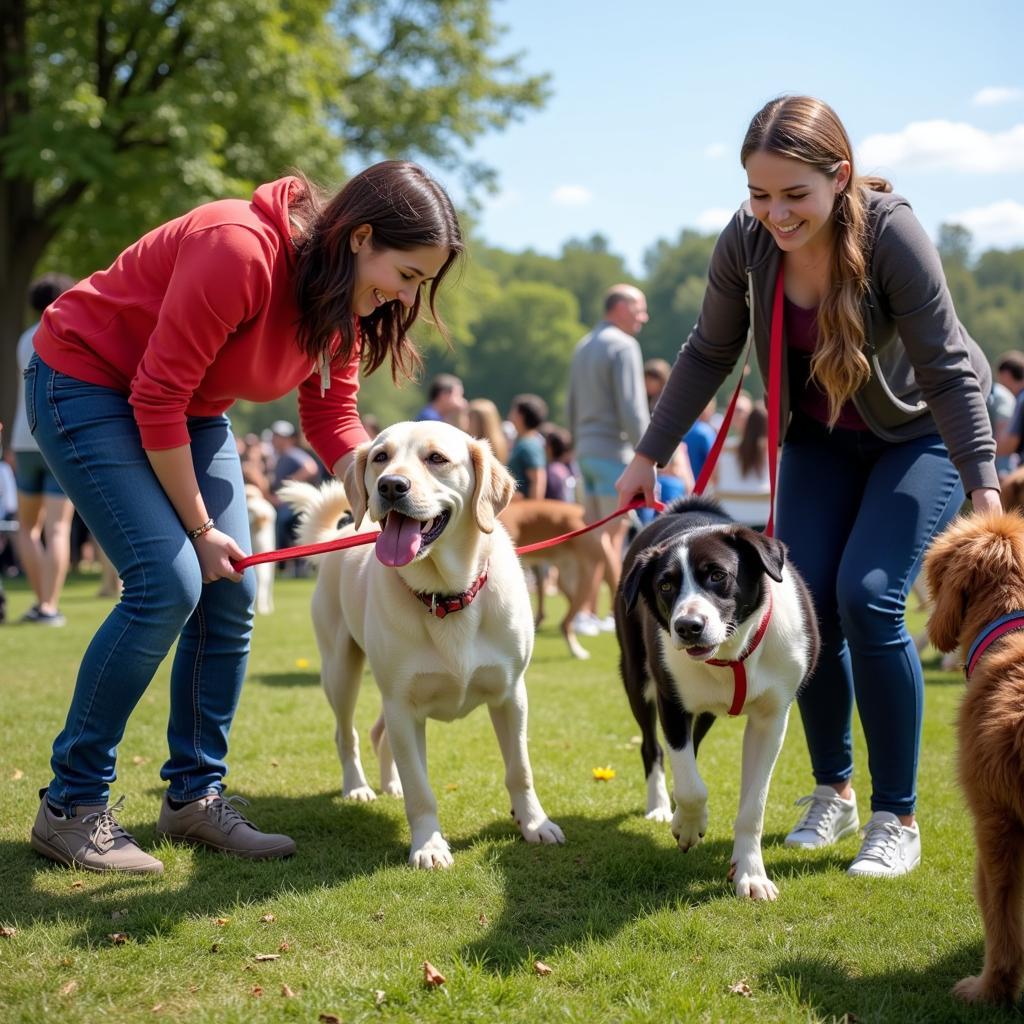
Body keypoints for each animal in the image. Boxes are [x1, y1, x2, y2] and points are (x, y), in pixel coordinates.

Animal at [284, 419, 565, 868]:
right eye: (380, 457)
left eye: (437, 458)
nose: (390, 485)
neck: (446, 596)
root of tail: (342, 534)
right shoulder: (402, 705)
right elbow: (420, 789)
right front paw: (429, 845)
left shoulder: (511, 695)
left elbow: (520, 769)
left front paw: (535, 824)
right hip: (341, 671)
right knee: (348, 735)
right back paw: (358, 787)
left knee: (377, 733)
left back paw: (389, 783)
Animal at [610, 499, 819, 901]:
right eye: (665, 585)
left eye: (718, 576)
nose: (688, 627)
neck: (731, 654)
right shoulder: (672, 702)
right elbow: (691, 785)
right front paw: (688, 825)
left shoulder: (772, 719)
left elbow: (753, 805)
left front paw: (751, 875)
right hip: (635, 675)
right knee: (653, 748)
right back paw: (662, 807)